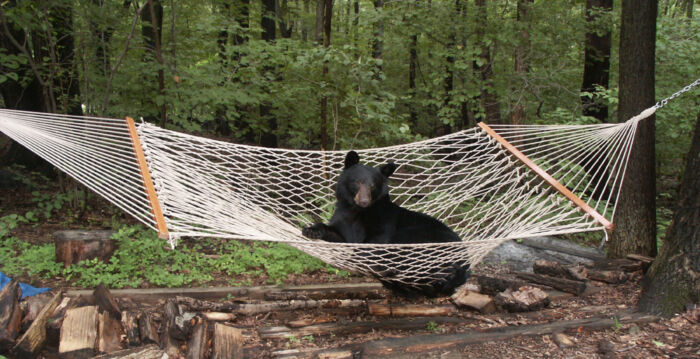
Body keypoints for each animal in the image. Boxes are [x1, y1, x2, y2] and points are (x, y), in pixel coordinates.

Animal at [302, 150, 470, 296]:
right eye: (358, 182)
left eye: (373, 185)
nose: (364, 202)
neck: (356, 211)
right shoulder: (343, 218)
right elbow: (338, 234)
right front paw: (311, 230)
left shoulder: (383, 222)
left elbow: (373, 243)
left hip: (418, 236)